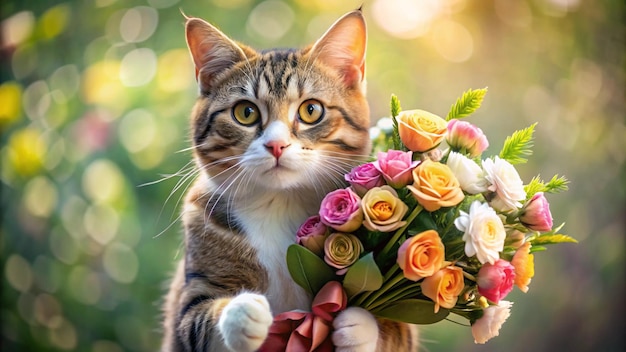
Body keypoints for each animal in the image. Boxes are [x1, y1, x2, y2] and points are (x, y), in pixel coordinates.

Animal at [160, 9, 420, 350]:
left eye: (311, 110)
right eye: (245, 112)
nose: (276, 145)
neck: (280, 203)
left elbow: (396, 333)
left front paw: (358, 326)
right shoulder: (189, 297)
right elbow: (195, 320)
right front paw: (241, 313)